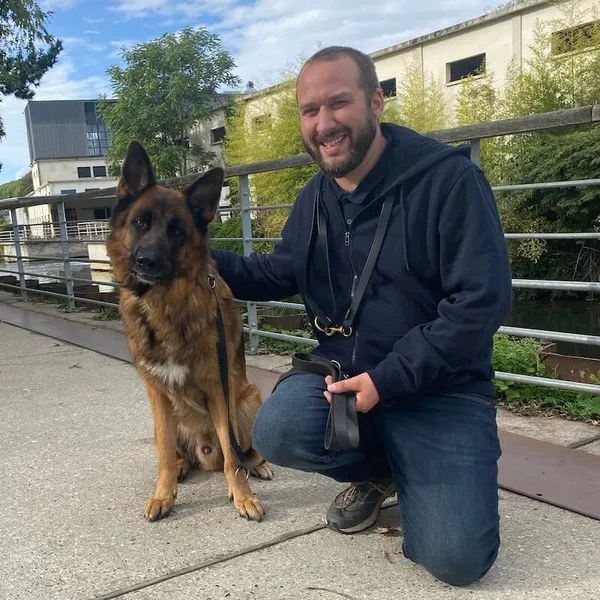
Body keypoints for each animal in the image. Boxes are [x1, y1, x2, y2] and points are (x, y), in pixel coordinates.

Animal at [105, 139, 272, 520]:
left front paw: (242, 495)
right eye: (141, 222)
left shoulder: (219, 391)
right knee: (177, 452)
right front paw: (163, 494)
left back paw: (256, 463)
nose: (147, 261)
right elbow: (166, 455)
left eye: (177, 231)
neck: (166, 305)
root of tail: (203, 450)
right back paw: (182, 466)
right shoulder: (156, 395)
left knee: (239, 449)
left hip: (248, 399)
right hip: (162, 420)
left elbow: (232, 459)